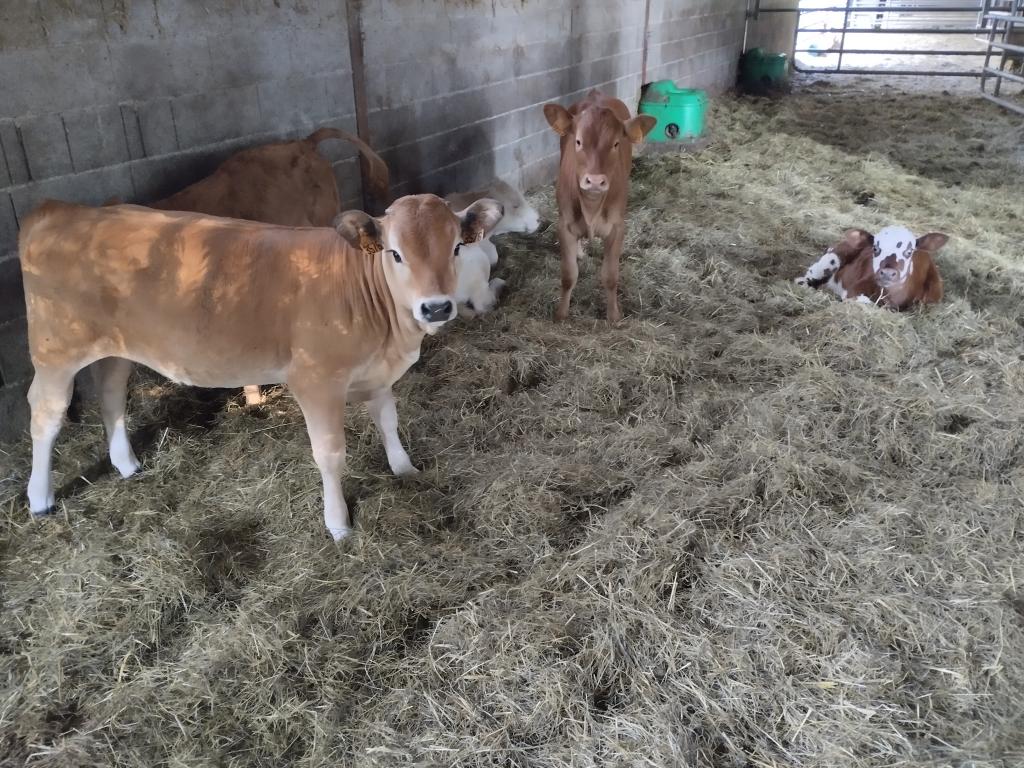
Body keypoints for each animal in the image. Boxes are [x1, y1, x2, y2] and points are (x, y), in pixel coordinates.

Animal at [544, 88, 655, 323]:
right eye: (578, 142)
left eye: (616, 143)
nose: (595, 181)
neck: (591, 206)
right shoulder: (564, 224)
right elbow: (568, 275)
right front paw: (561, 314)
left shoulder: (617, 227)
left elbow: (611, 277)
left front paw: (613, 316)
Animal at [794, 225, 946, 309]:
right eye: (875, 248)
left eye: (909, 251)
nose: (887, 273)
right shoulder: (855, 290)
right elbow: (867, 302)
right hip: (831, 258)